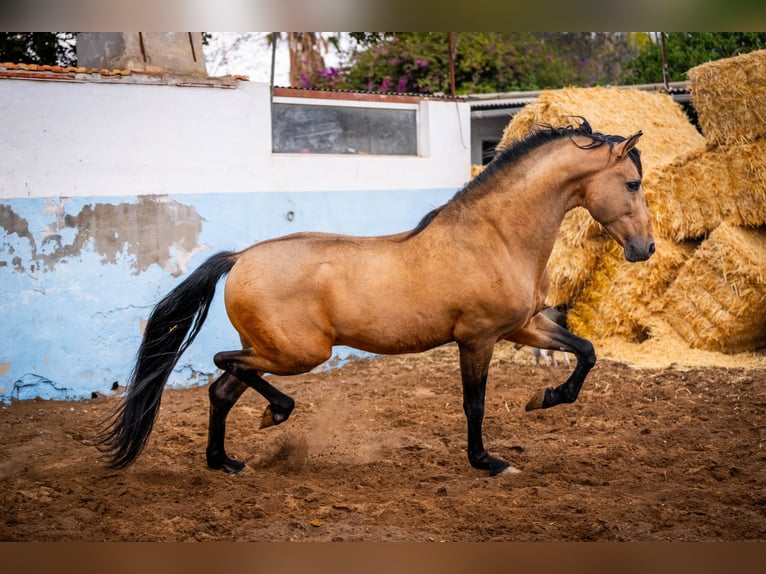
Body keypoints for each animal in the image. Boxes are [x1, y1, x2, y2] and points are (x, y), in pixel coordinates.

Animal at [99, 119, 656, 480]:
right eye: (632, 183)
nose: (645, 249)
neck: (494, 236)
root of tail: (239, 258)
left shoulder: (524, 326)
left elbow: (586, 352)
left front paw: (545, 398)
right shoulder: (477, 338)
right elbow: (474, 404)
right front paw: (488, 462)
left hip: (272, 349)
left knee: (221, 388)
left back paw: (226, 462)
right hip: (298, 354)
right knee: (225, 363)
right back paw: (275, 414)